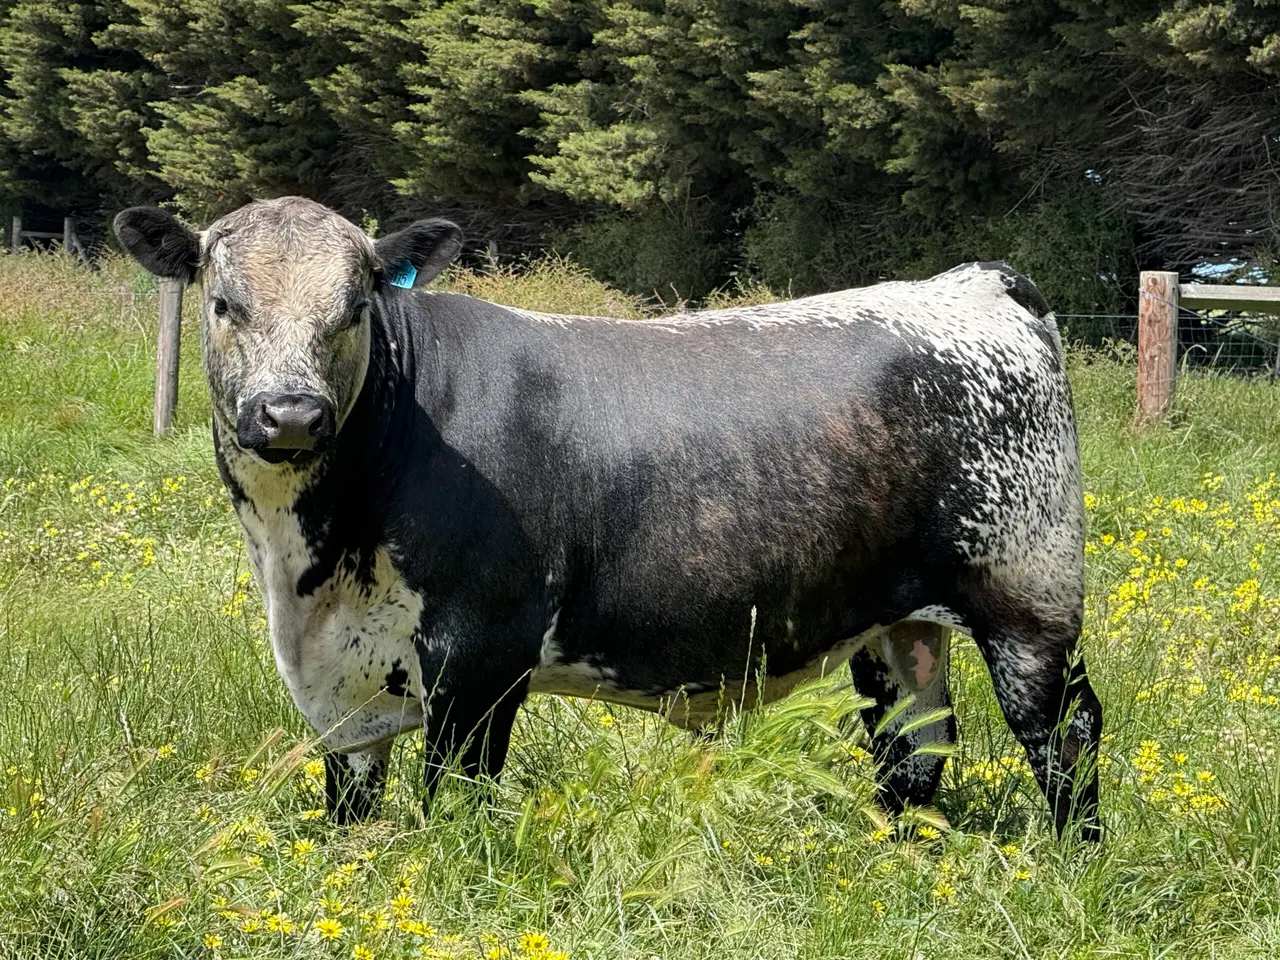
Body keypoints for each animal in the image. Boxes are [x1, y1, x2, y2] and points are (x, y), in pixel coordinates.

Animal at [113, 197, 1102, 840]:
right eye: (223, 303)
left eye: (354, 307)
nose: (290, 414)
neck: (310, 566)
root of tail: (970, 283)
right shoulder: (340, 683)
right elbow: (351, 808)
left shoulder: (483, 656)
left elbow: (458, 799)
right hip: (897, 619)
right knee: (913, 743)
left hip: (1029, 597)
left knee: (1066, 730)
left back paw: (1074, 860)